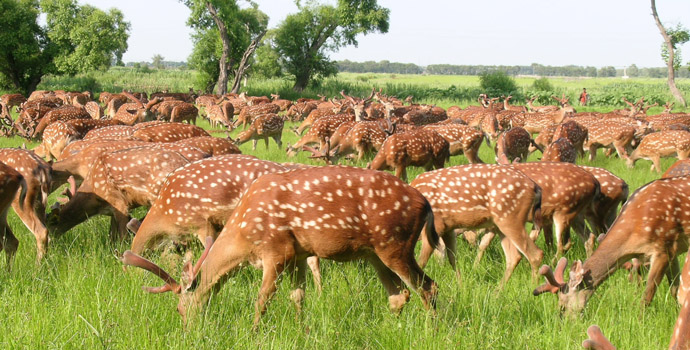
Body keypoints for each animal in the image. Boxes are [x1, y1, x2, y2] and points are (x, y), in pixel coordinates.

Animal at [121, 165, 438, 326]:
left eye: (179, 309)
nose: (187, 330)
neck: (243, 236)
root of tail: (425, 204)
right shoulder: (299, 253)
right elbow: (298, 297)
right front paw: (302, 329)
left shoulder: (277, 250)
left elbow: (263, 299)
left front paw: (253, 332)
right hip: (374, 253)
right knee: (398, 296)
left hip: (394, 243)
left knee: (427, 286)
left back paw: (432, 329)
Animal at [408, 165, 544, 284]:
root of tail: (535, 187)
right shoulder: (448, 228)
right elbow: (453, 259)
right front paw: (460, 286)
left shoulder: (437, 225)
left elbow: (421, 262)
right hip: (502, 224)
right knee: (514, 257)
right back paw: (497, 291)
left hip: (510, 218)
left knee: (535, 254)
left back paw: (532, 287)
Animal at [536, 176, 690, 316]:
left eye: (562, 306)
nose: (564, 322)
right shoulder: (672, 249)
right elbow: (674, 289)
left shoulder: (662, 248)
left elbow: (648, 294)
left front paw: (640, 319)